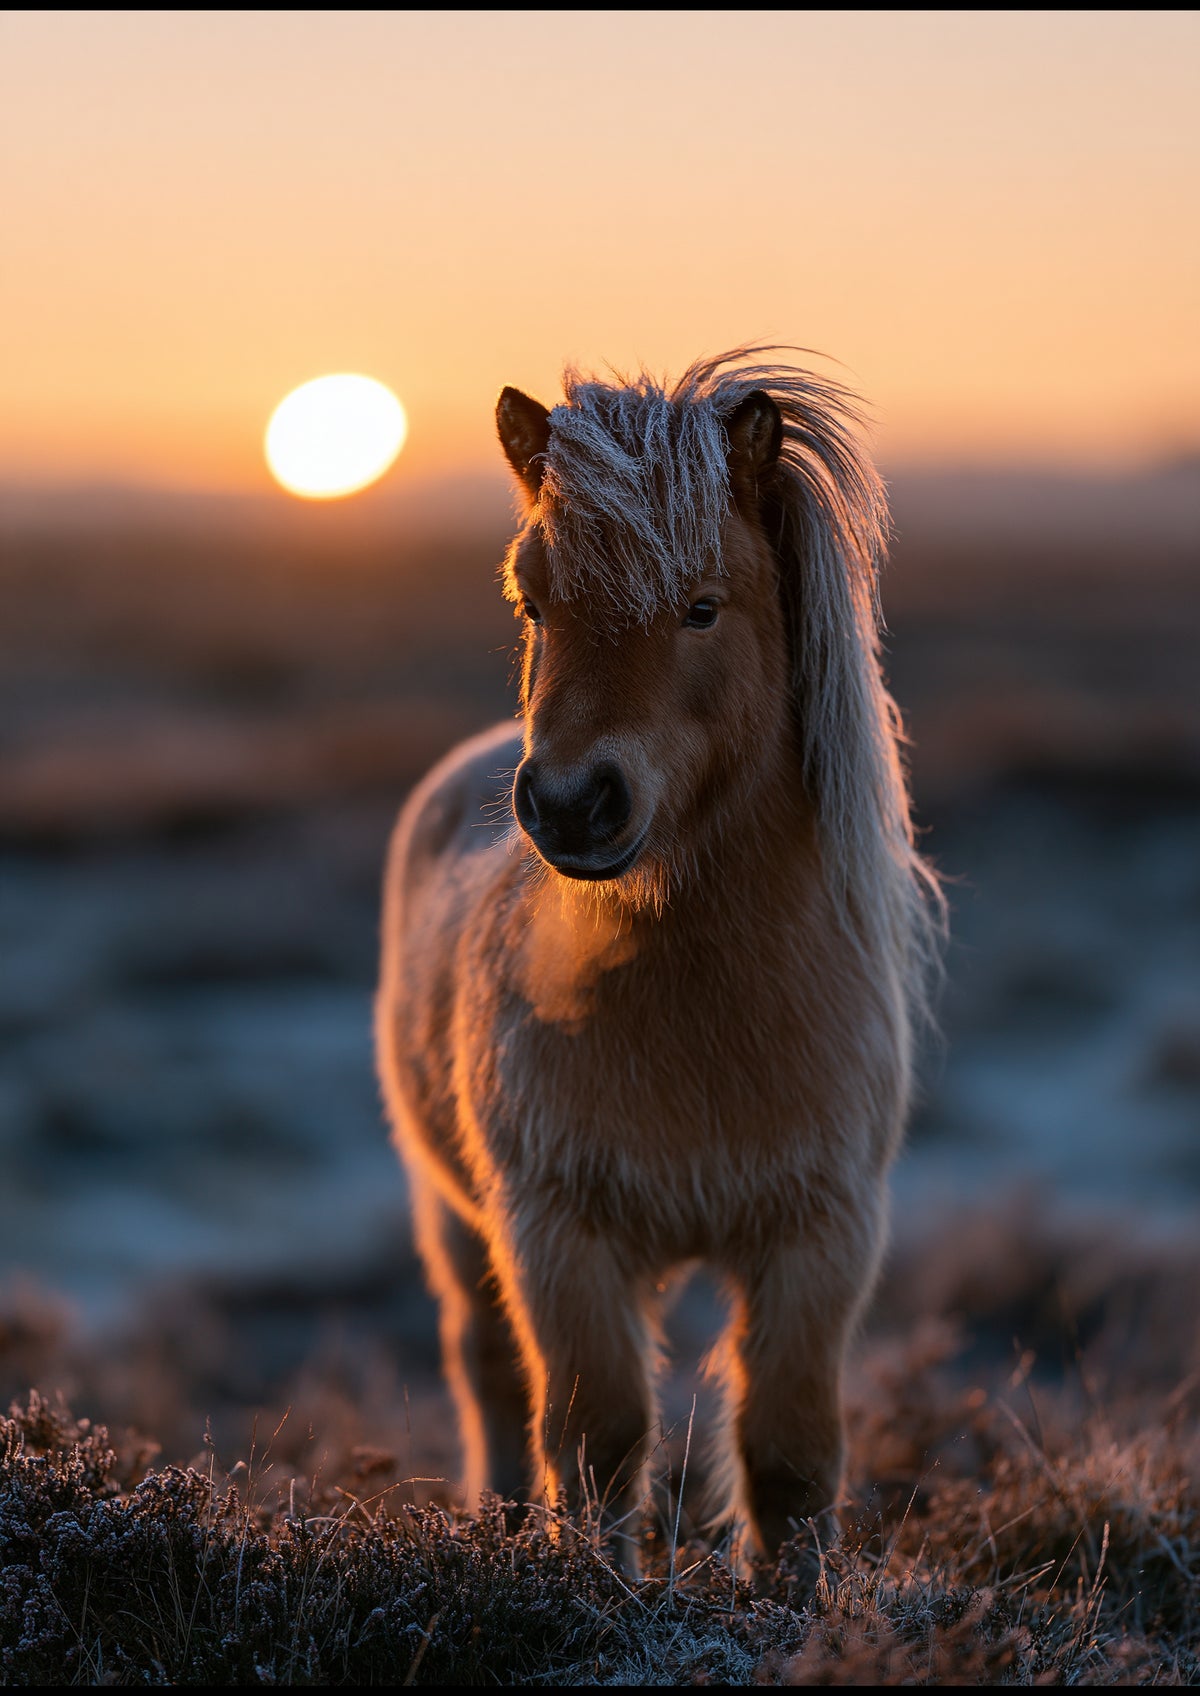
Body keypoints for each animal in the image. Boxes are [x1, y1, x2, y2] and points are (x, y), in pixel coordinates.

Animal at [375, 347, 942, 1576]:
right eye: (532, 600)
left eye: (703, 607)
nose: (570, 803)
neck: (701, 1017)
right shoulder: (558, 1233)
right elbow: (597, 1438)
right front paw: (592, 1586)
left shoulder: (822, 1236)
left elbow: (787, 1455)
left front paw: (794, 1600)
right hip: (454, 1217)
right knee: (489, 1375)